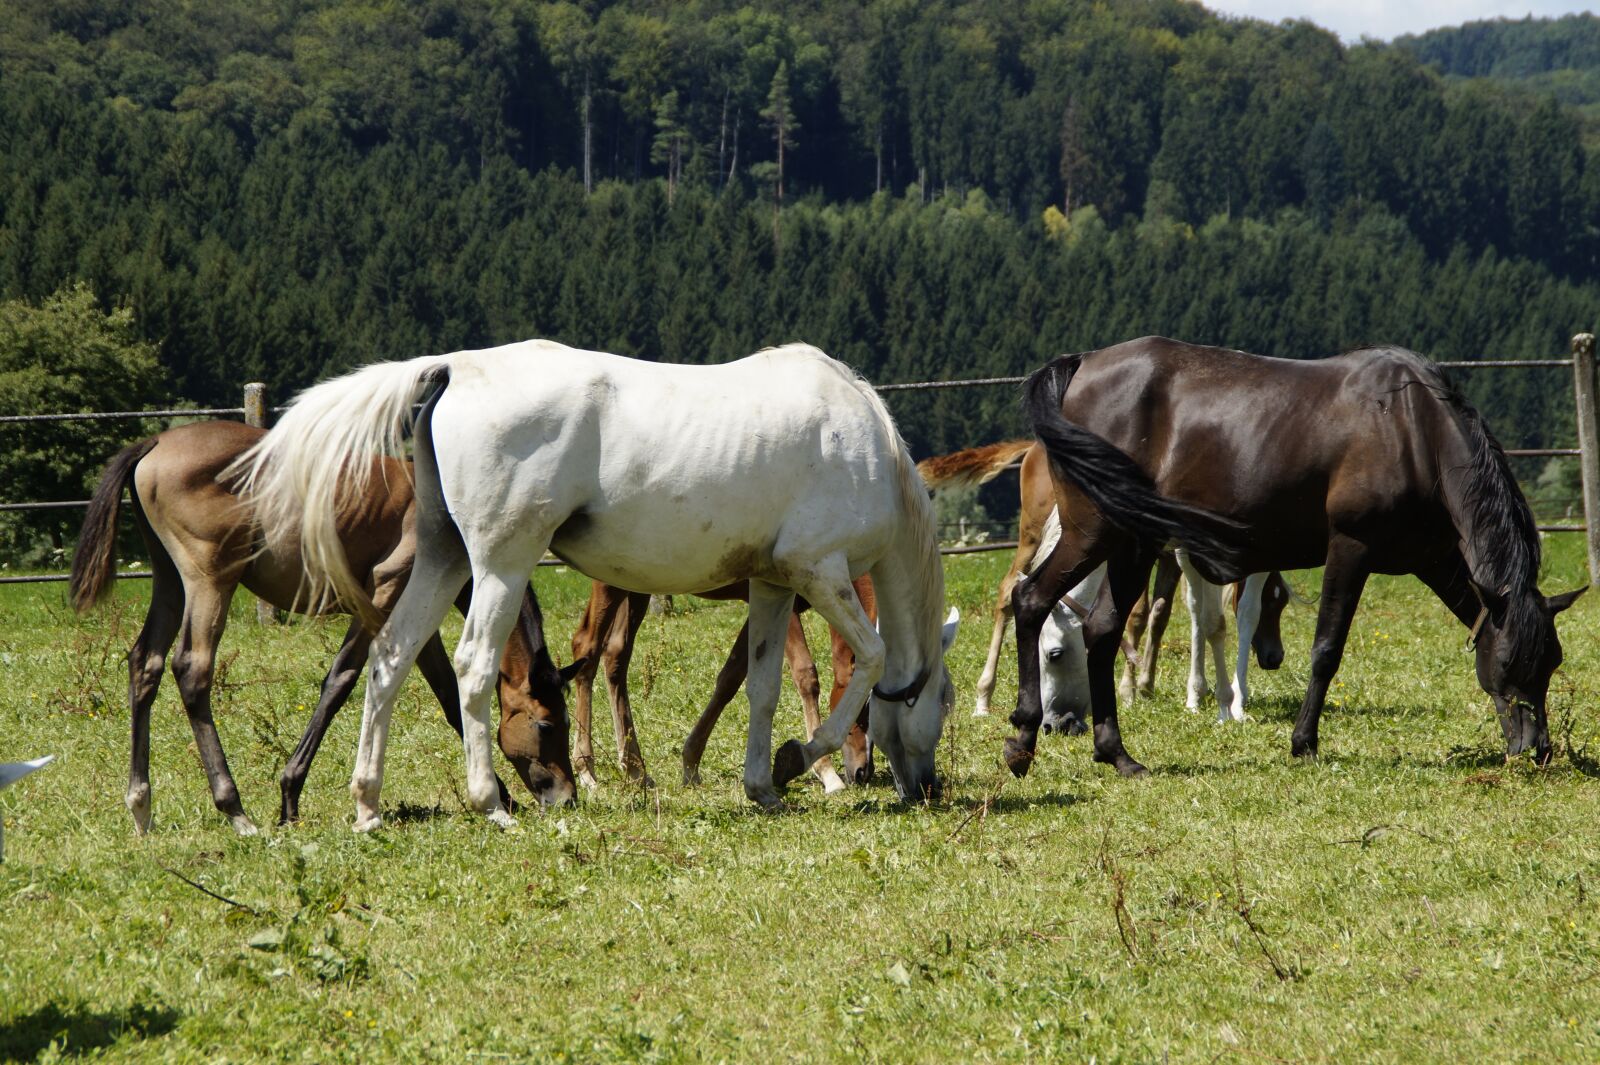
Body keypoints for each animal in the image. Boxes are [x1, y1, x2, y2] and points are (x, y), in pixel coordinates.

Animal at [69, 421, 580, 835]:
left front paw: (501, 796)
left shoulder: (419, 622)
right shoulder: (383, 592)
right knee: (192, 671)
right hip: (209, 581)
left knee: (145, 664)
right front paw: (289, 796)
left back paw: (141, 805)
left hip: (169, 581)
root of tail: (155, 442)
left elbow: (449, 700)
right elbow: (340, 680)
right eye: (547, 723)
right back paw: (235, 811)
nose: (567, 798)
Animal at [569, 577, 876, 791]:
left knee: (616, 655)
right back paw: (586, 770)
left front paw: (690, 763)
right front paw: (826, 772)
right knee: (586, 647)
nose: (863, 772)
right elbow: (805, 674)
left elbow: (730, 677)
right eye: (863, 709)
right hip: (609, 584)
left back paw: (636, 770)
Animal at [917, 439, 1288, 724]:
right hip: (1034, 535)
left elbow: (1172, 614)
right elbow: (1192, 618)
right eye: (1272, 602)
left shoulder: (1173, 554)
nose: (1275, 658)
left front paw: (1174, 689)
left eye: (1283, 603)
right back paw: (984, 697)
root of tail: (1032, 446)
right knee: (1008, 593)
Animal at [1004, 336, 1584, 779]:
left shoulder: (1432, 559)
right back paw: (1023, 740)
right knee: (1029, 600)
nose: (1536, 750)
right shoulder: (1351, 550)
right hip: (1095, 534)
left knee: (1100, 629)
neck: (1414, 430)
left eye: (1552, 662)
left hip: (1134, 544)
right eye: (1508, 664)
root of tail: (1081, 365)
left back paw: (1116, 755)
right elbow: (1327, 649)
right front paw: (1304, 742)